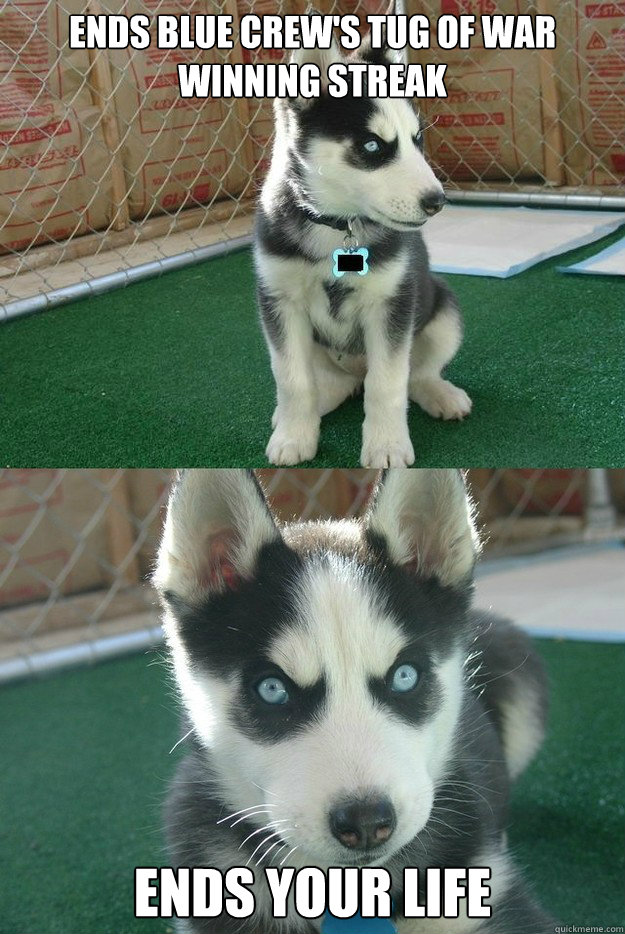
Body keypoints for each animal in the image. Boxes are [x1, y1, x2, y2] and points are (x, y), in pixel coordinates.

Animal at [251, 36, 470, 468]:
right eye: (372, 145)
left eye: (417, 140)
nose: (437, 202)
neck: (338, 225)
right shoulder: (280, 301)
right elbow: (292, 378)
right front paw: (293, 435)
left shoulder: (391, 304)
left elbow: (387, 383)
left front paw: (386, 445)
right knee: (332, 383)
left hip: (444, 312)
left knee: (415, 375)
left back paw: (440, 394)